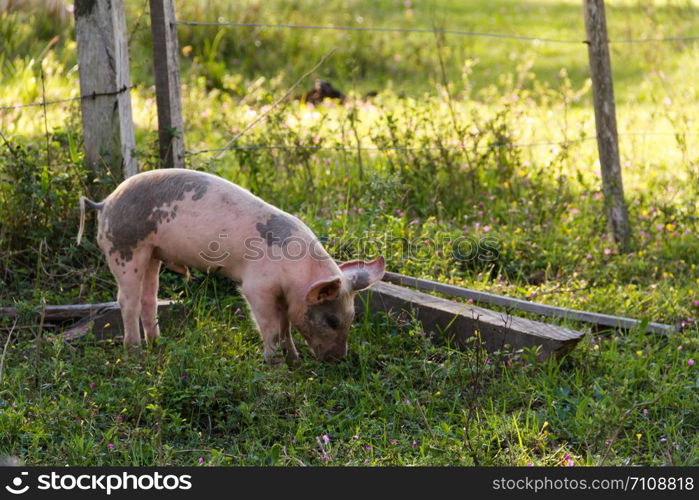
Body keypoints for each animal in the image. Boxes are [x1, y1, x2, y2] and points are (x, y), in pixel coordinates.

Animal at [78, 168, 386, 364]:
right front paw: (275, 364)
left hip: (153, 253)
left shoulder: (284, 297)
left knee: (148, 297)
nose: (339, 359)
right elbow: (271, 327)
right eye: (332, 320)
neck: (297, 278)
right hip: (125, 248)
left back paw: (159, 344)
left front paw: (295, 360)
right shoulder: (257, 288)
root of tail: (105, 202)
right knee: (126, 300)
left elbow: (286, 325)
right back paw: (135, 353)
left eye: (351, 318)